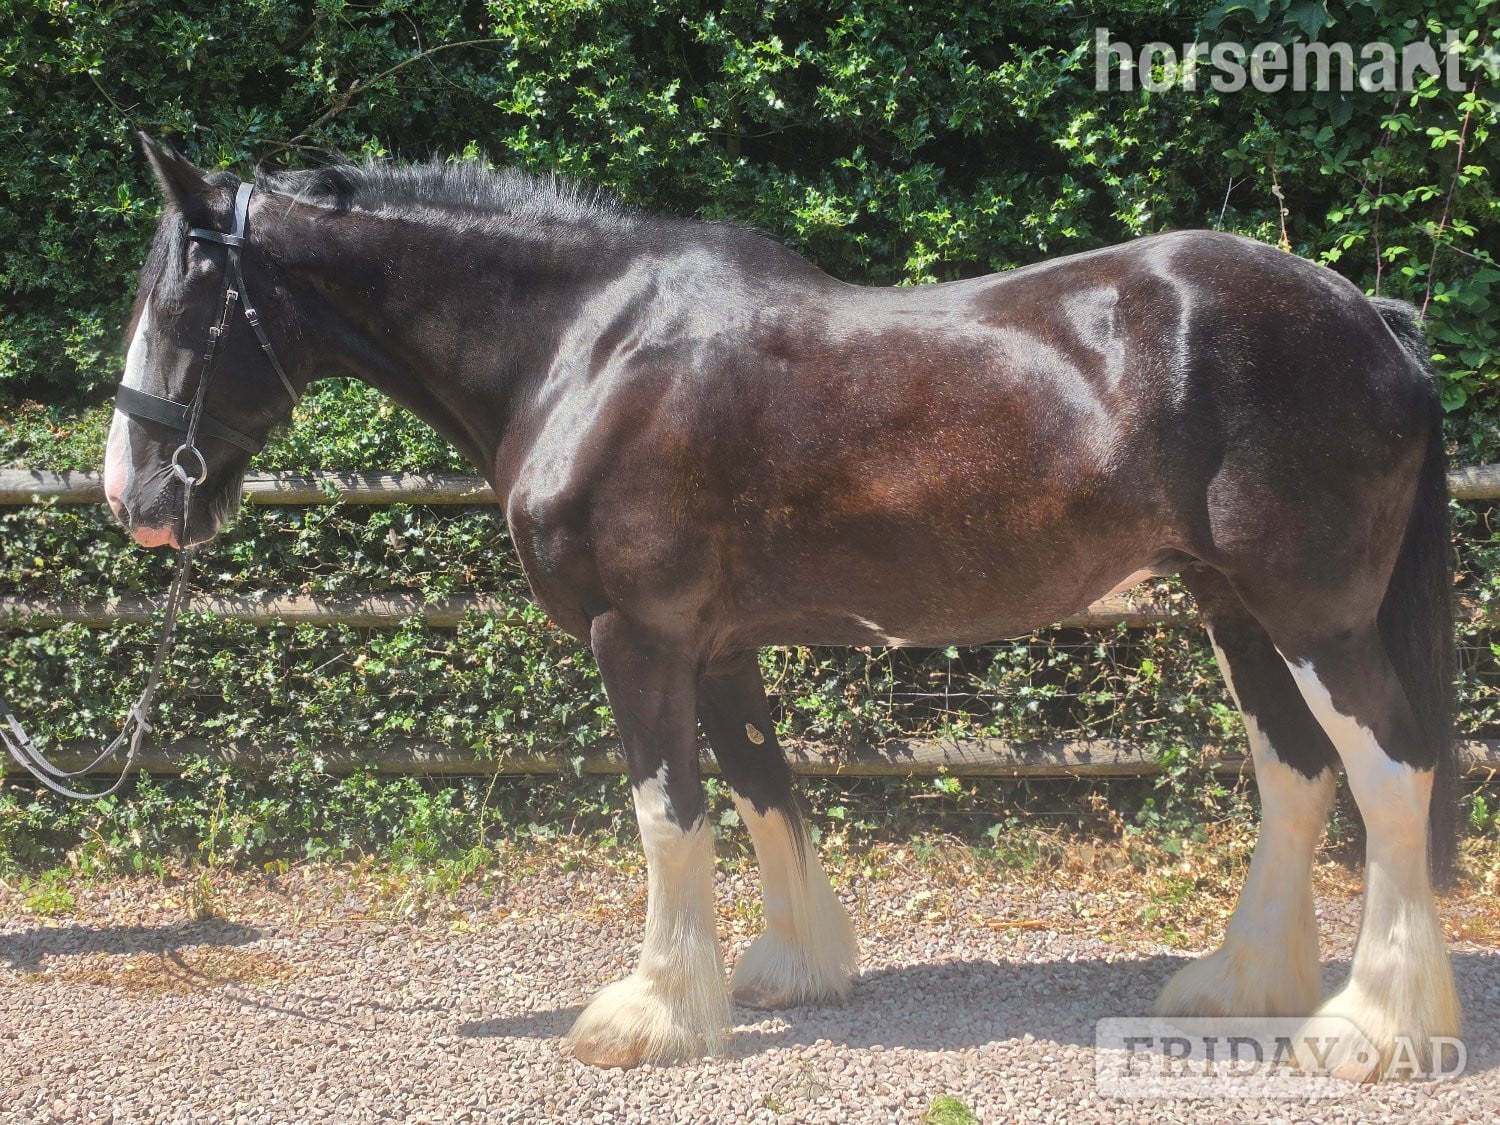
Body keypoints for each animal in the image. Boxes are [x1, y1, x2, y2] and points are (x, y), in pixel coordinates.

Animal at [104, 135, 1460, 1078]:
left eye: (181, 307)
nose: (135, 496)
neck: (587, 347)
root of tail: (1375, 319)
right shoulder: (716, 649)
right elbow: (764, 793)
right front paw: (786, 972)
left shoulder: (639, 638)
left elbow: (669, 817)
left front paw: (651, 1015)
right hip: (1235, 608)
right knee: (1296, 772)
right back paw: (1242, 985)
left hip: (1314, 615)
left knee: (1391, 775)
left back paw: (1370, 1030)